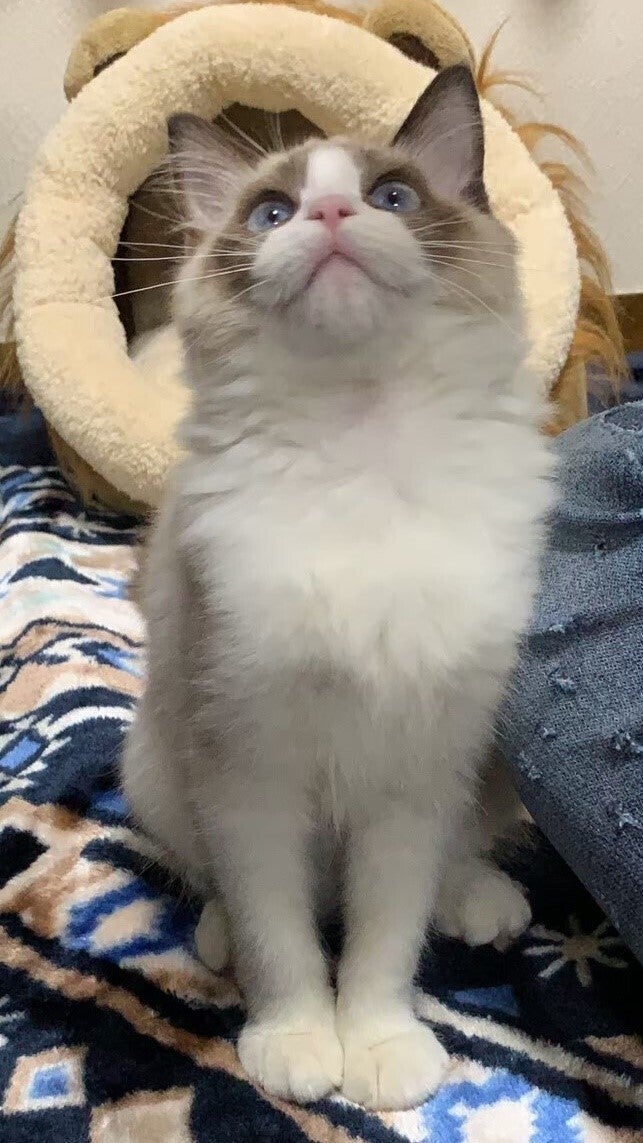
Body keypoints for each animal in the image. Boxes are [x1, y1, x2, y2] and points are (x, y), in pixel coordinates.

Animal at [122, 65, 554, 1110]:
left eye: (390, 197)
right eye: (272, 213)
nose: (323, 214)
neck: (363, 449)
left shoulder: (411, 776)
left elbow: (381, 941)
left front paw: (380, 1050)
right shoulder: (248, 771)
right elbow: (281, 936)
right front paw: (294, 1045)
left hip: (477, 766)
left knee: (450, 859)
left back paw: (480, 905)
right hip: (153, 759)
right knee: (217, 884)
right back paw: (216, 941)